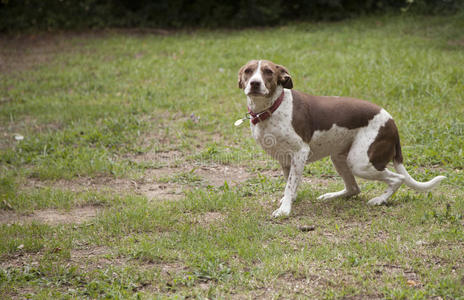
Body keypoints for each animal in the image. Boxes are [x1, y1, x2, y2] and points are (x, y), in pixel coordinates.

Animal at [237, 59, 444, 218]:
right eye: (248, 71)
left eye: (268, 72)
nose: (254, 83)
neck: (272, 108)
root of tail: (392, 122)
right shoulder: (285, 159)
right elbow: (291, 184)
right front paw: (289, 201)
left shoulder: (300, 153)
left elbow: (290, 185)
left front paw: (284, 210)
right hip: (339, 158)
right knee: (354, 189)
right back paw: (331, 196)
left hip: (360, 162)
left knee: (397, 178)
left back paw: (379, 200)